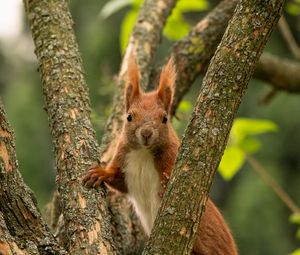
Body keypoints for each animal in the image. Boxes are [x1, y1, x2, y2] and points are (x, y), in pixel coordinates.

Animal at [83, 56, 238, 254]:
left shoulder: (172, 159)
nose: (146, 133)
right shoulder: (124, 163)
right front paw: (99, 173)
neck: (143, 153)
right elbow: (117, 180)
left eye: (165, 118)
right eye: (129, 117)